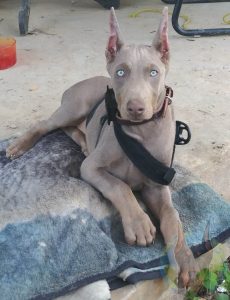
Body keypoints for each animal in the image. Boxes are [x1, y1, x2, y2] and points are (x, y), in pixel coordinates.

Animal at [6, 7, 199, 288]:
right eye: (120, 72)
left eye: (154, 73)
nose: (135, 108)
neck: (139, 132)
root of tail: (80, 82)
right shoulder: (91, 169)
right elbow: (120, 187)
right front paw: (139, 224)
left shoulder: (157, 183)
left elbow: (173, 216)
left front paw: (184, 258)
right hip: (73, 106)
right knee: (46, 124)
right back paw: (19, 145)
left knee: (74, 130)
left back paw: (84, 142)